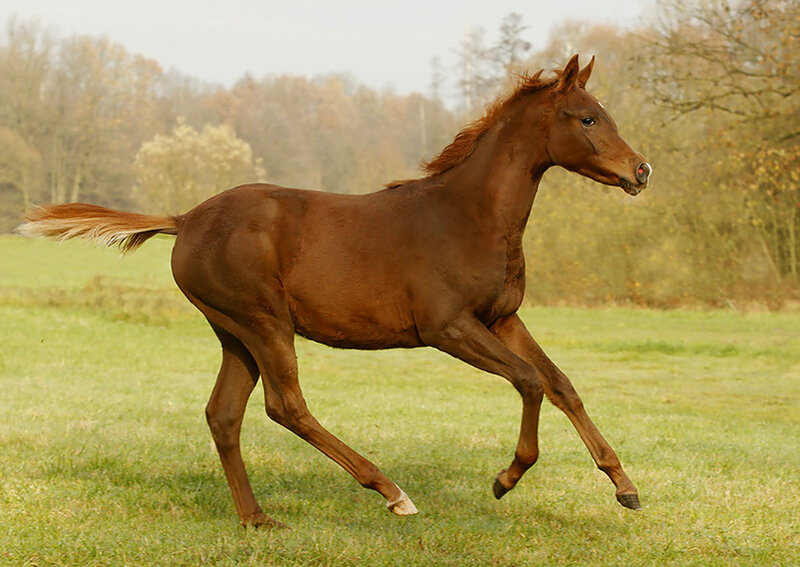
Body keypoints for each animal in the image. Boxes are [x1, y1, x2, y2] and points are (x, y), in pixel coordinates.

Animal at [18, 55, 651, 528]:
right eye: (587, 119)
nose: (641, 171)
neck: (468, 217)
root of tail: (186, 218)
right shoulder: (448, 328)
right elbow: (528, 381)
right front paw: (505, 479)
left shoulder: (502, 319)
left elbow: (562, 385)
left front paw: (625, 486)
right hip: (264, 322)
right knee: (286, 406)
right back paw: (392, 492)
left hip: (234, 332)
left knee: (224, 414)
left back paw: (257, 520)